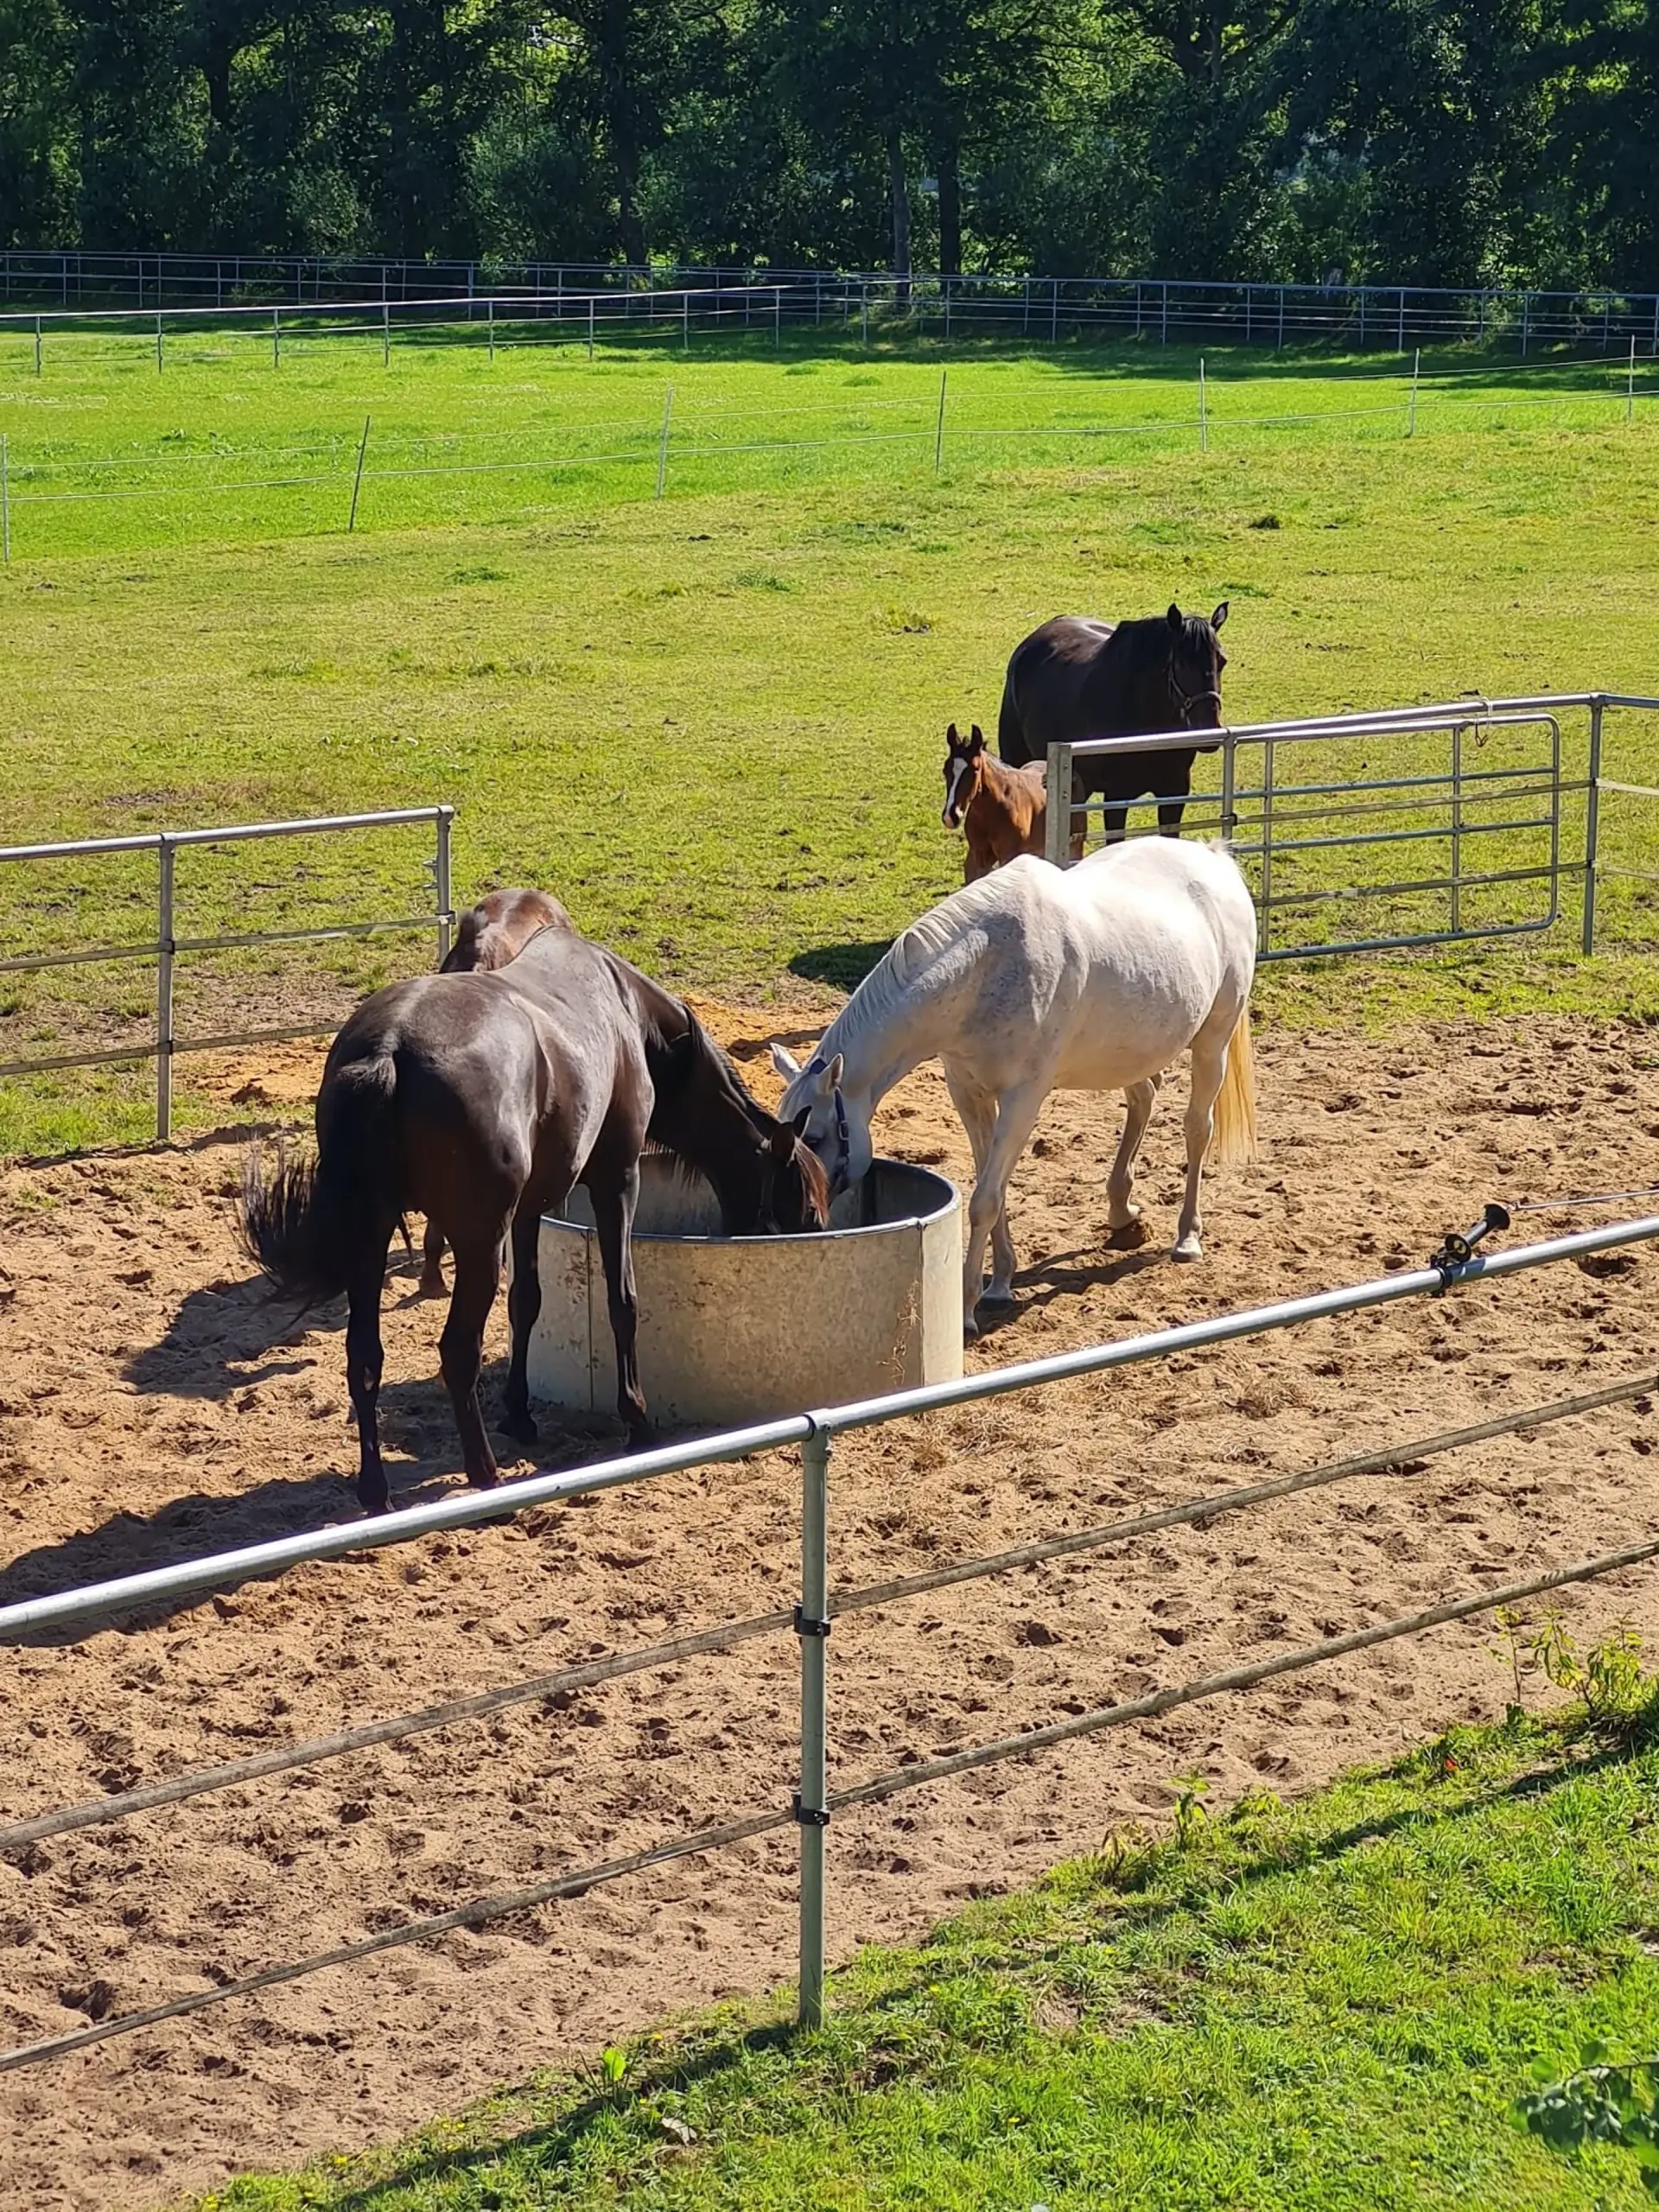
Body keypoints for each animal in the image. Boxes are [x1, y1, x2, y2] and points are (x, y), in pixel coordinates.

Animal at [244, 929, 831, 1513]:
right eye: (805, 1209)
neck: (630, 1014)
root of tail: (389, 1050)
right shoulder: (618, 1181)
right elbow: (622, 1301)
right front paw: (636, 1419)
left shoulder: (530, 1208)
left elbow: (526, 1302)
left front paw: (520, 1414)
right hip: (477, 1244)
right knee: (458, 1352)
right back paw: (485, 1477)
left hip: (369, 1239)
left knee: (365, 1358)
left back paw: (378, 1494)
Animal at [771, 838, 1256, 1338]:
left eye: (815, 1137)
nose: (804, 1220)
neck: (984, 969)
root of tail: (1213, 858)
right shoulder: (968, 1093)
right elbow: (993, 1187)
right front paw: (1001, 1281)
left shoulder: (1024, 1099)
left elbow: (985, 1199)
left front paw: (968, 1307)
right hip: (1130, 1051)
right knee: (1144, 1097)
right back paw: (1122, 1213)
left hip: (1213, 1043)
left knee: (1197, 1128)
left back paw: (1188, 1237)